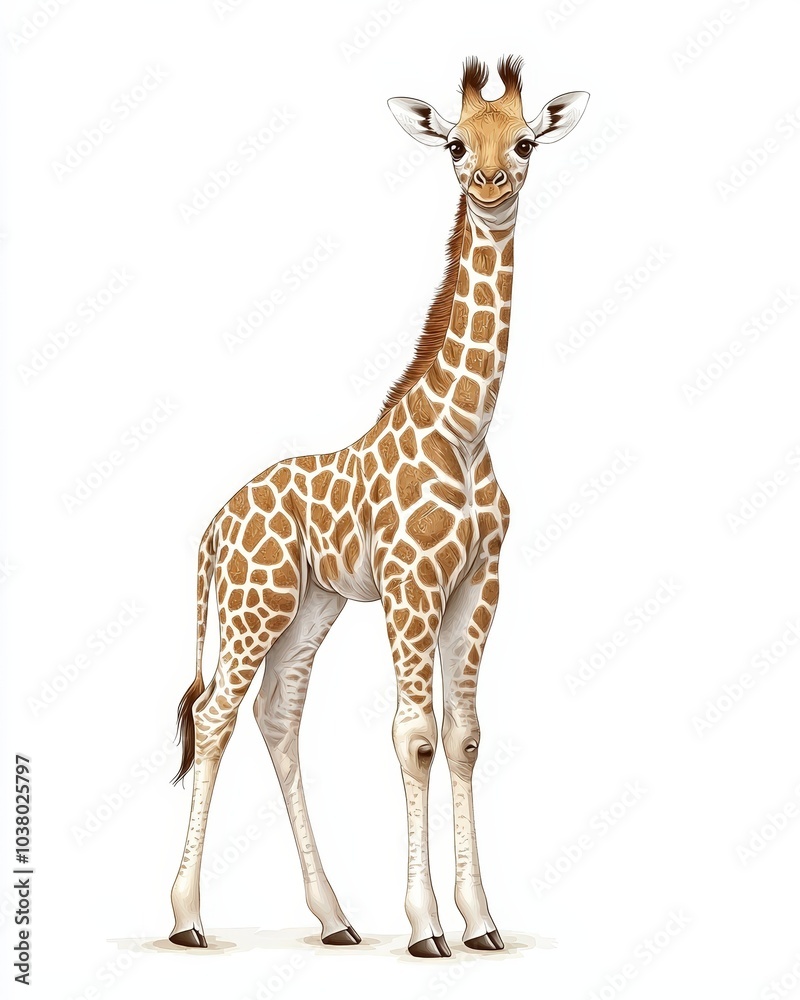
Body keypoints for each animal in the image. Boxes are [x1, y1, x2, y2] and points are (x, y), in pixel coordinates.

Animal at [168, 55, 588, 959]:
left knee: (276, 715)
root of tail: (213, 529)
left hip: (310, 606)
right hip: (256, 603)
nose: (491, 184)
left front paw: (481, 922)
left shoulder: (479, 585)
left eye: (527, 140)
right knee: (216, 714)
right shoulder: (411, 584)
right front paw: (428, 926)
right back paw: (186, 917)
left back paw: (335, 917)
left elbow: (464, 737)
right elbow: (415, 737)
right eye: (456, 144)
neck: (465, 427)